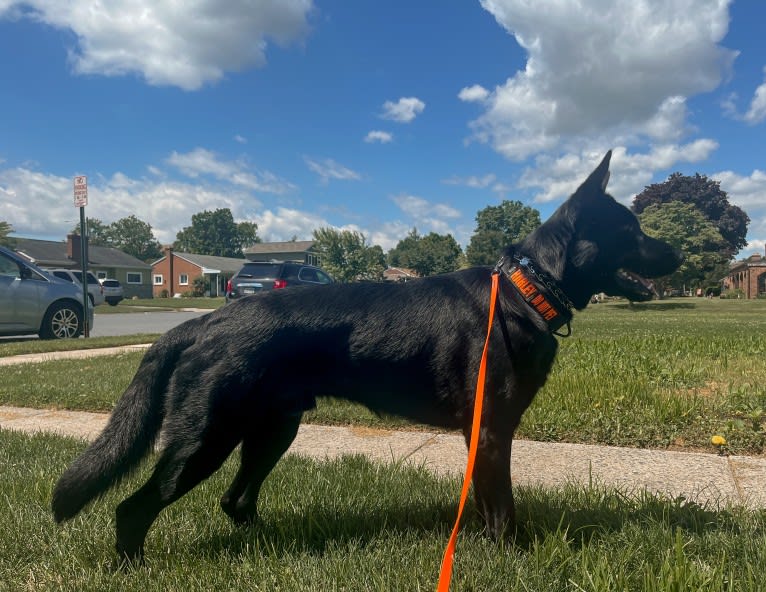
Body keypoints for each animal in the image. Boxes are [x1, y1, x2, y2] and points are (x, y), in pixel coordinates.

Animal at [51, 151, 680, 560]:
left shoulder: (482, 433)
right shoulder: (492, 429)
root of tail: (204, 321)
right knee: (135, 509)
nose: (678, 250)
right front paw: (514, 558)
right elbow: (501, 508)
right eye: (631, 229)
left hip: (272, 430)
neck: (525, 292)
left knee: (234, 500)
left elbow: (483, 503)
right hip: (208, 436)